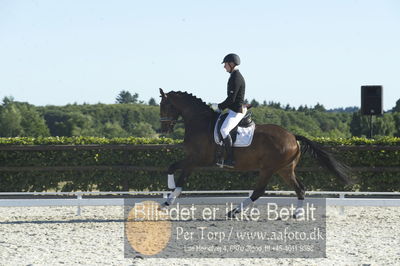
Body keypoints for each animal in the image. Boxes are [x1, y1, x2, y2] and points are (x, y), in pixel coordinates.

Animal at [159, 88, 350, 217]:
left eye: (165, 106)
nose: (164, 130)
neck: (201, 123)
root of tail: (292, 136)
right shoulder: (193, 159)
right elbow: (173, 169)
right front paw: (169, 193)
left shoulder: (197, 158)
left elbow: (177, 174)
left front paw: (168, 198)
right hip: (285, 169)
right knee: (300, 189)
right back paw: (297, 214)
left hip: (269, 168)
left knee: (259, 191)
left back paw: (234, 211)